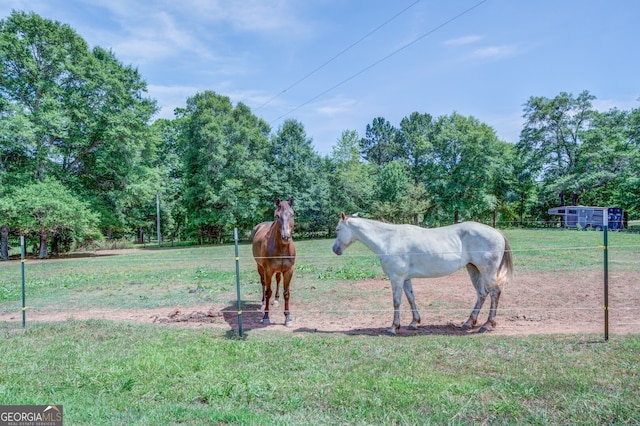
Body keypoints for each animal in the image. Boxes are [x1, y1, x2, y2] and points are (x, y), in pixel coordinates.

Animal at [252, 196, 298, 326]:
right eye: (277, 215)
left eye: (292, 214)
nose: (285, 237)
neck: (282, 248)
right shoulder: (268, 271)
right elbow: (268, 292)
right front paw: (266, 317)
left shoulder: (288, 271)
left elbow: (286, 293)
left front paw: (288, 318)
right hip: (260, 267)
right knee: (263, 282)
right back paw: (263, 302)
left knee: (278, 280)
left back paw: (277, 300)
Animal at [332, 215, 512, 334]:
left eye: (338, 229)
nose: (335, 249)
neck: (389, 239)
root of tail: (496, 232)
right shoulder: (405, 279)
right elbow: (411, 298)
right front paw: (414, 322)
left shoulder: (396, 278)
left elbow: (396, 302)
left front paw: (393, 327)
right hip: (473, 269)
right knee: (482, 294)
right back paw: (469, 323)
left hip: (487, 272)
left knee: (494, 293)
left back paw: (488, 324)